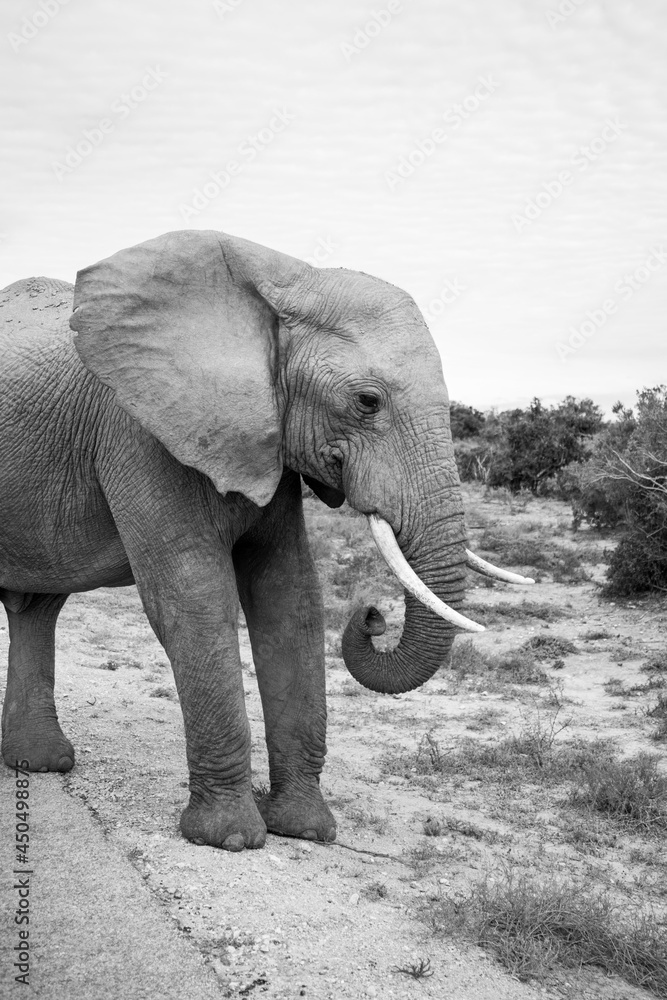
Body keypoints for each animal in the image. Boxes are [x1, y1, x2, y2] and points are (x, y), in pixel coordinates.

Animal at [0, 230, 529, 852]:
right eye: (367, 401)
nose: (373, 616)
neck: (286, 282)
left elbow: (289, 594)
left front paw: (305, 829)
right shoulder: (140, 431)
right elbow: (194, 597)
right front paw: (229, 838)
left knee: (38, 606)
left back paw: (39, 764)